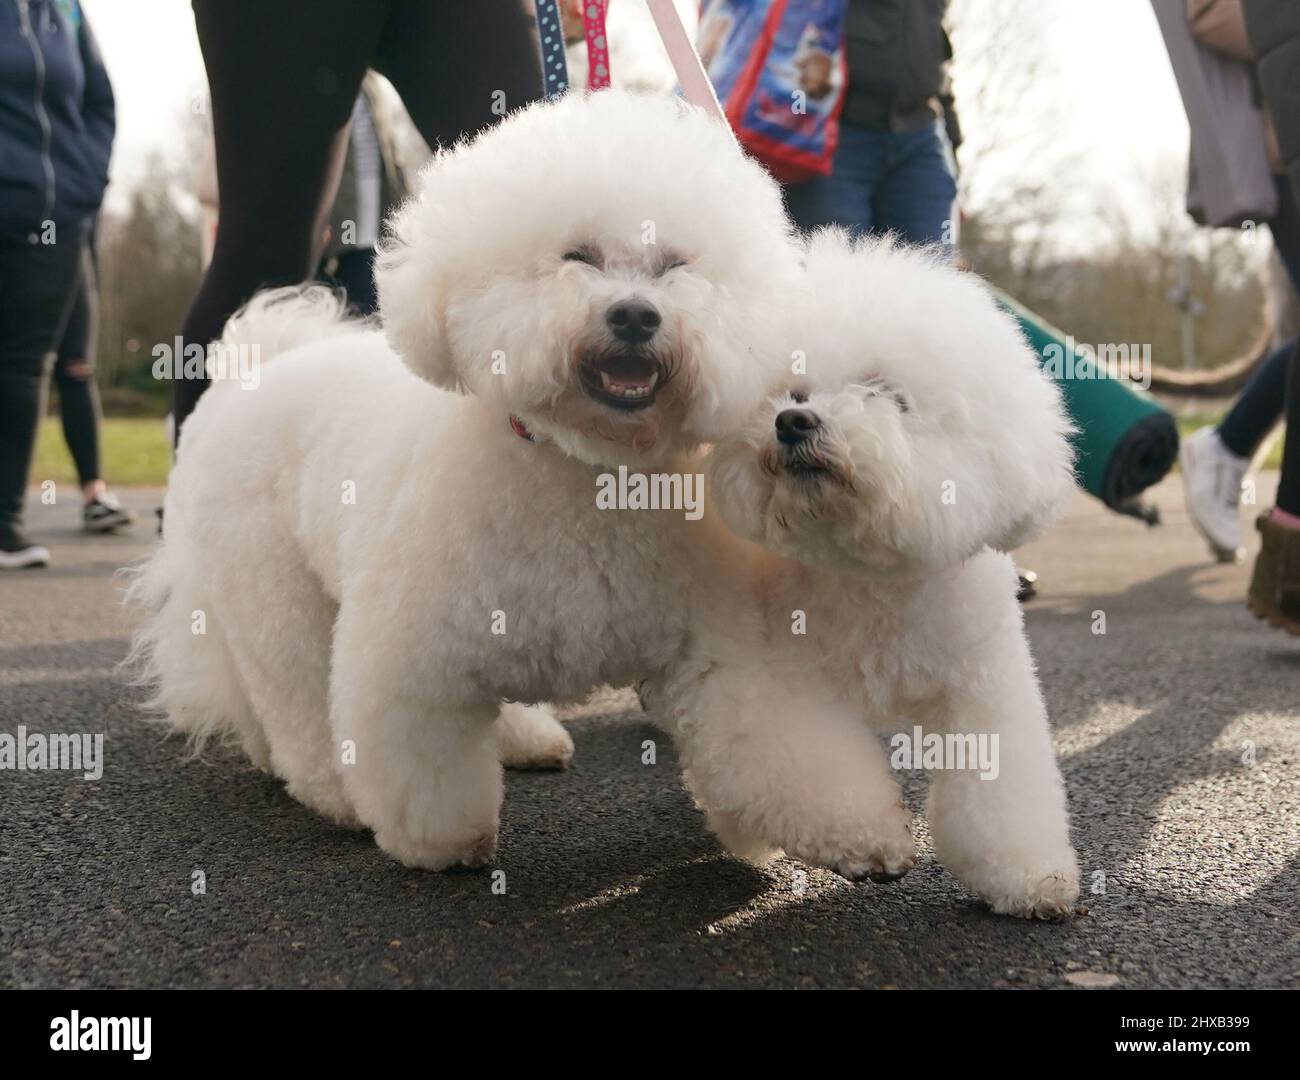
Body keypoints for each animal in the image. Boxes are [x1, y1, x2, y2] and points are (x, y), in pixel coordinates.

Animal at [134, 90, 800, 868]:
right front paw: (442, 842)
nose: (635, 315)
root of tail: (258, 366)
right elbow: (425, 765)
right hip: (273, 591)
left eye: (674, 267)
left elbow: (758, 733)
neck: (579, 469)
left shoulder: (707, 644)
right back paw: (326, 787)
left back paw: (523, 737)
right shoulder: (410, 662)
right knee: (292, 691)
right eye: (577, 256)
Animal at [660, 232, 1086, 914]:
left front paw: (1028, 876)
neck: (870, 573)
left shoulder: (982, 682)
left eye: (887, 394)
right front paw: (869, 841)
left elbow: (999, 788)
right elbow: (796, 763)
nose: (793, 421)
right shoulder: (775, 680)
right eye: (794, 390)